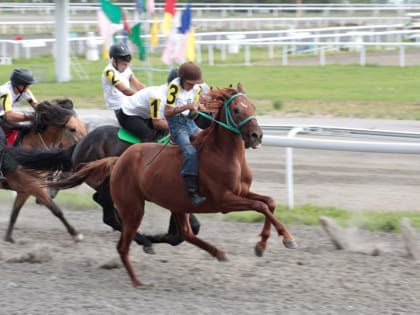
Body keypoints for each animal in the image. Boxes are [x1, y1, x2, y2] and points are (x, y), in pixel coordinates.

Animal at [2, 99, 86, 244]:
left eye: (83, 126)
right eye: (72, 129)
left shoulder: (25, 190)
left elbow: (15, 213)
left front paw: (8, 237)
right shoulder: (34, 186)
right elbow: (56, 210)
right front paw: (76, 234)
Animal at [38, 83, 296, 286]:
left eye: (252, 106)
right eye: (236, 109)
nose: (256, 135)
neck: (220, 153)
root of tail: (82, 142)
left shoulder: (240, 192)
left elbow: (269, 202)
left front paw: (263, 243)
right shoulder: (223, 199)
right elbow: (260, 207)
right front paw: (283, 239)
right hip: (114, 190)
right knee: (109, 213)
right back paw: (143, 242)